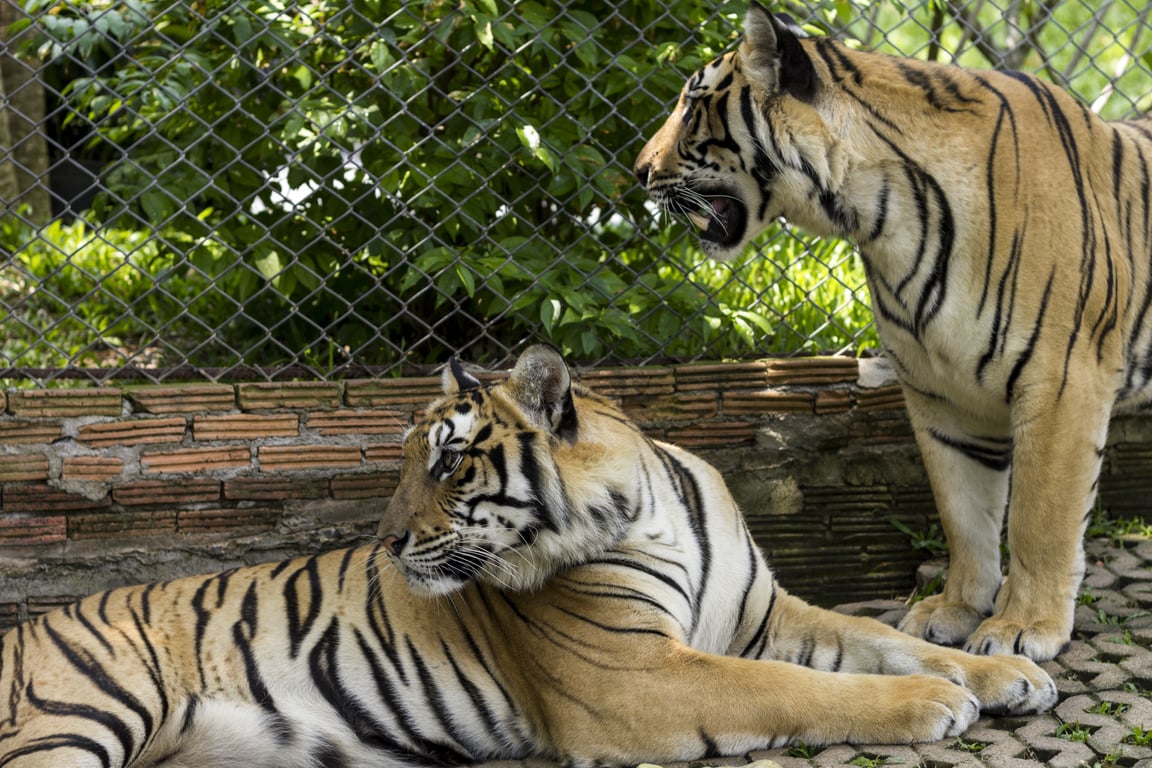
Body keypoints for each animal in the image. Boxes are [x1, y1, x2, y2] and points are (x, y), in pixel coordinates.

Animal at [0, 345, 1055, 767]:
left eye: (447, 461)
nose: (385, 540)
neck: (645, 511)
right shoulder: (635, 676)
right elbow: (804, 690)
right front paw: (930, 705)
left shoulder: (767, 616)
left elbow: (885, 639)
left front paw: (1004, 673)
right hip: (80, 715)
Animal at [635, 1, 1152, 664]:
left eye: (694, 104)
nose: (639, 171)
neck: (881, 217)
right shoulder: (940, 393)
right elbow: (964, 513)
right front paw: (954, 611)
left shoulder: (1062, 381)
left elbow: (1039, 518)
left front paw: (1023, 626)